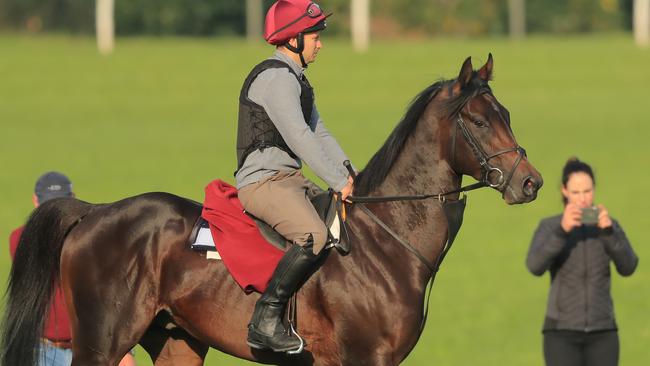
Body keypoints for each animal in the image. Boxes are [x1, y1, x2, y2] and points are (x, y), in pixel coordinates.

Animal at [1, 55, 540, 366]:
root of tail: (96, 211)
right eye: (478, 120)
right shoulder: (366, 358)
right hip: (100, 342)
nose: (530, 182)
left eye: (508, 115)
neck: (386, 240)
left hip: (176, 341)